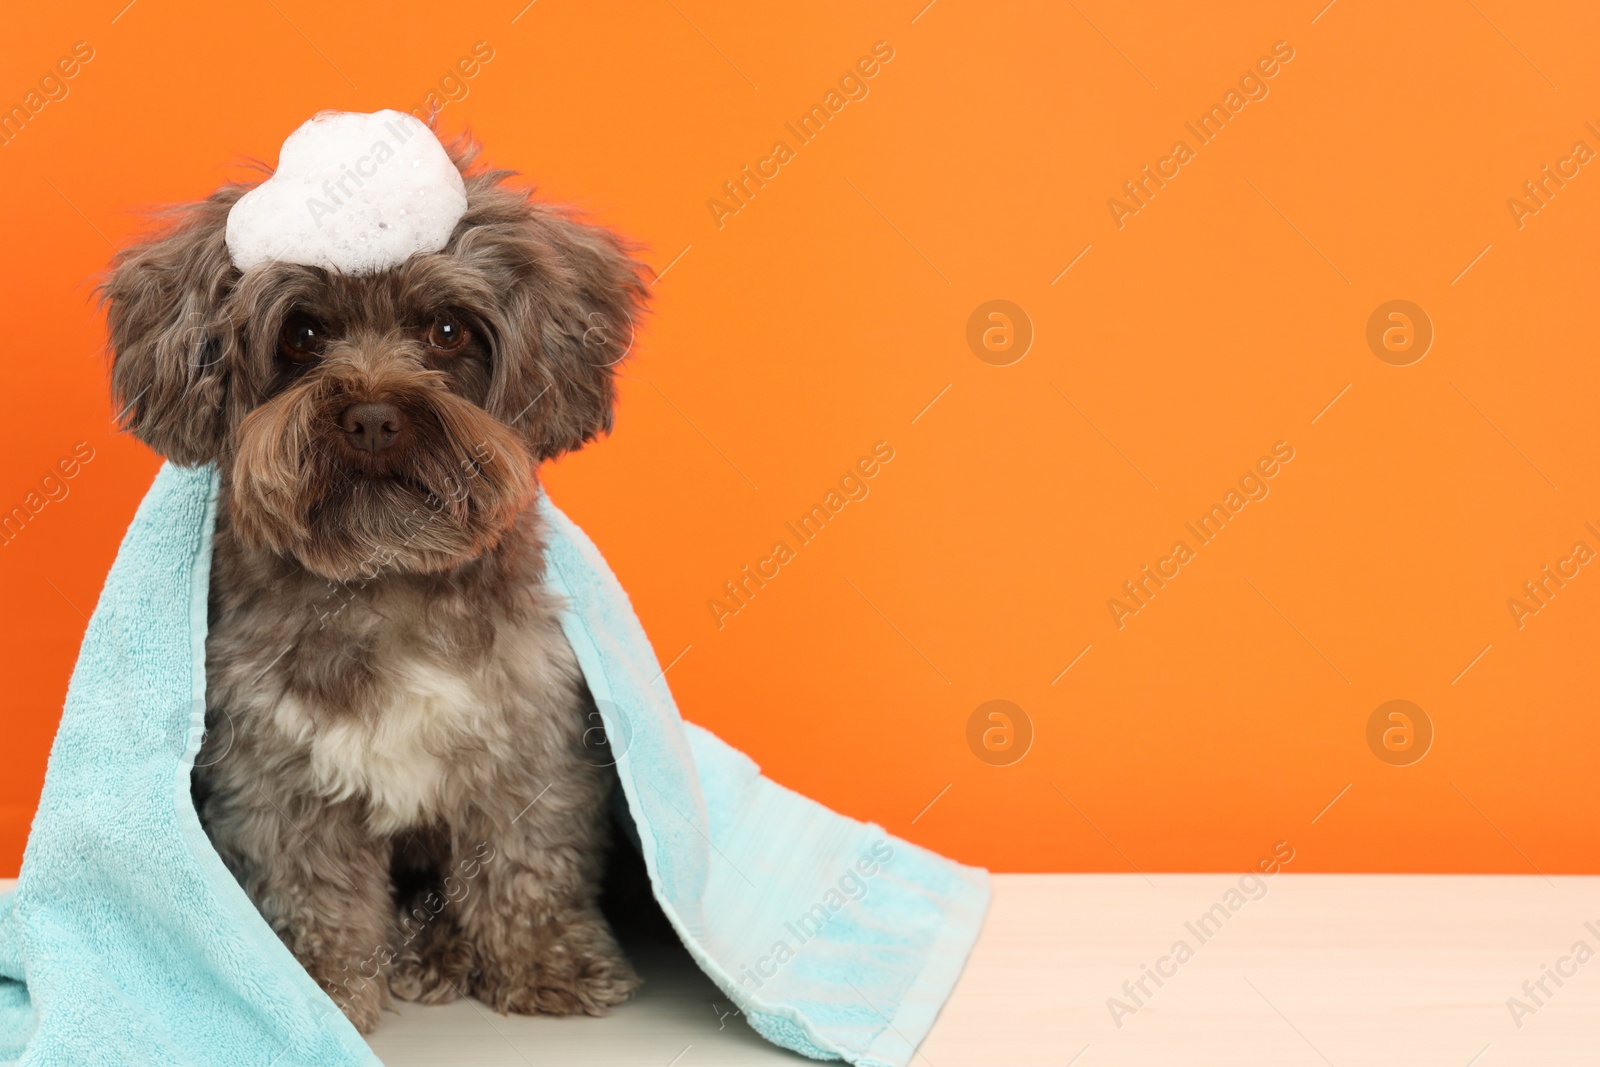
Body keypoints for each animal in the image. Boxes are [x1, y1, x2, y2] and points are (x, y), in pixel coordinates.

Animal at [98, 127, 649, 1036]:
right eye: (301, 332)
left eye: (449, 328)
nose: (372, 415)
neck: (385, 574)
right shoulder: (276, 765)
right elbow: (313, 885)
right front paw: (319, 985)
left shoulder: (529, 736)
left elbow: (527, 859)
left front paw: (543, 961)